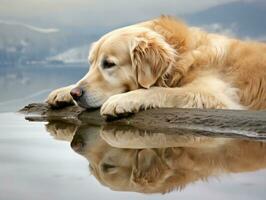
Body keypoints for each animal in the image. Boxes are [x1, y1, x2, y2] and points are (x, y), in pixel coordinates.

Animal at [46, 16, 266, 116]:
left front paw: (122, 100)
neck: (183, 58)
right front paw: (63, 91)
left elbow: (162, 91)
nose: (75, 94)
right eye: (91, 63)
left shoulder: (216, 97)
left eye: (108, 64)